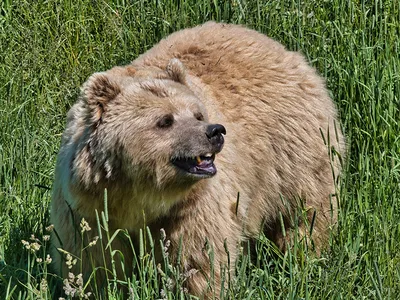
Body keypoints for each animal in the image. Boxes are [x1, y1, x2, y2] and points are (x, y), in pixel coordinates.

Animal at [49, 22, 344, 298]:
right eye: (165, 120)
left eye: (197, 114)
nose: (215, 132)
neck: (139, 194)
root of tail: (281, 48)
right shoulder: (90, 207)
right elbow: (93, 259)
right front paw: (91, 286)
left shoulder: (190, 209)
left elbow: (199, 258)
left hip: (294, 151)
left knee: (304, 213)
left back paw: (304, 255)